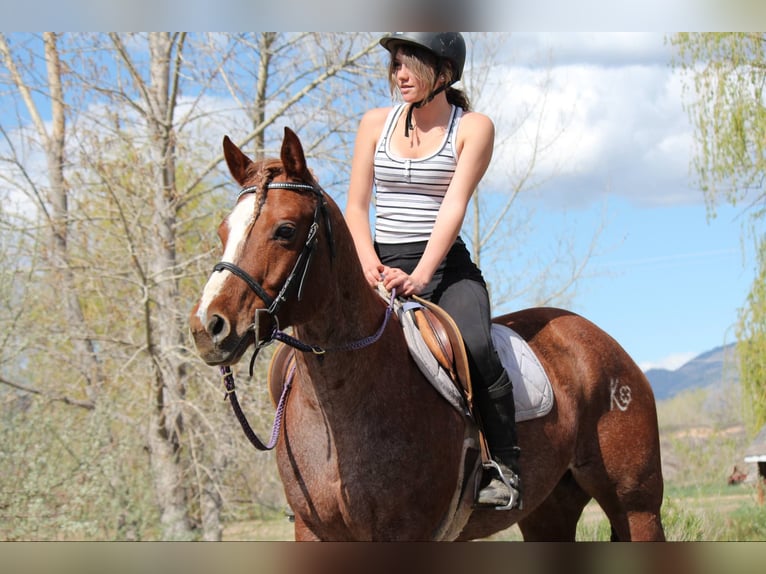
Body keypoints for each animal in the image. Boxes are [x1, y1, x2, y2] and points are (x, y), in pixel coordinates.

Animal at [189, 127, 665, 541]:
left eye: (285, 230)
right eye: (223, 231)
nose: (207, 327)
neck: (345, 395)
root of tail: (598, 340)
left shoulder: (403, 535)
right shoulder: (314, 532)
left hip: (637, 508)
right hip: (549, 511)